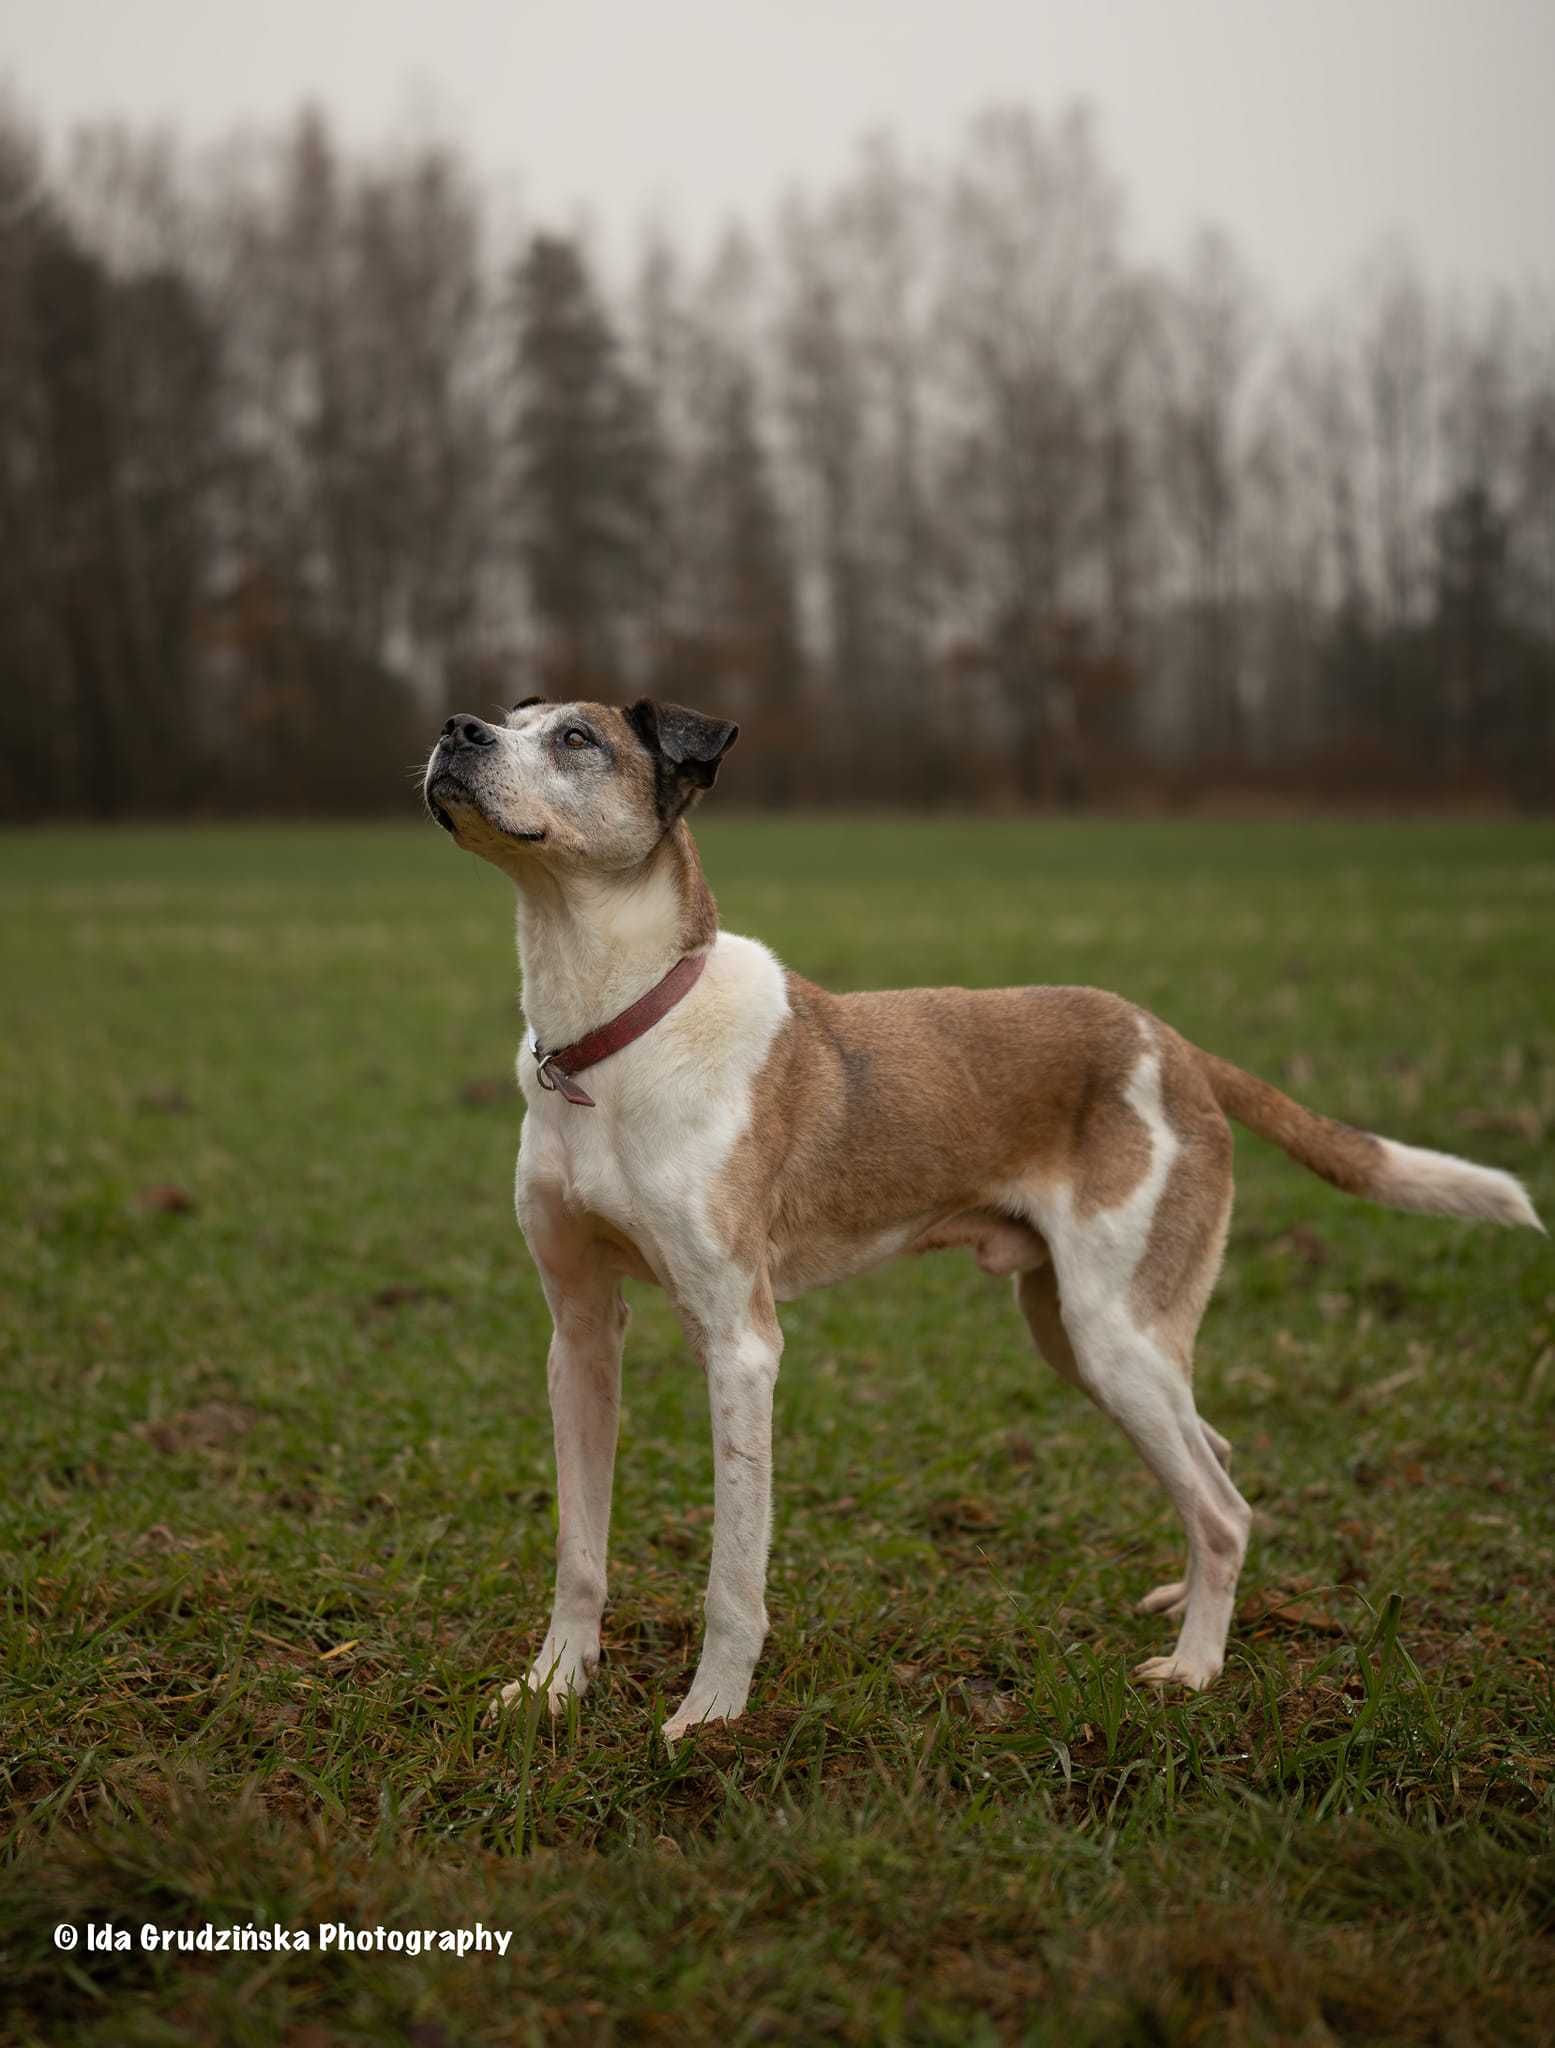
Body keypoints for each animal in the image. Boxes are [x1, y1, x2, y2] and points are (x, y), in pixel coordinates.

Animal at [422, 696, 1548, 1736]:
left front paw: (709, 1721)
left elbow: (733, 1575)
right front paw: (551, 1689)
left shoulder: (739, 1342)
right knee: (1215, 1461)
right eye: (512, 715)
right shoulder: (579, 1330)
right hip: (1079, 1333)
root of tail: (1175, 1043)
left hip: (1112, 1332)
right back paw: (1186, 1606)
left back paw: (1192, 1669)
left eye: (575, 738)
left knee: (1224, 1508)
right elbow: (579, 1548)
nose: (454, 730)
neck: (613, 1037)